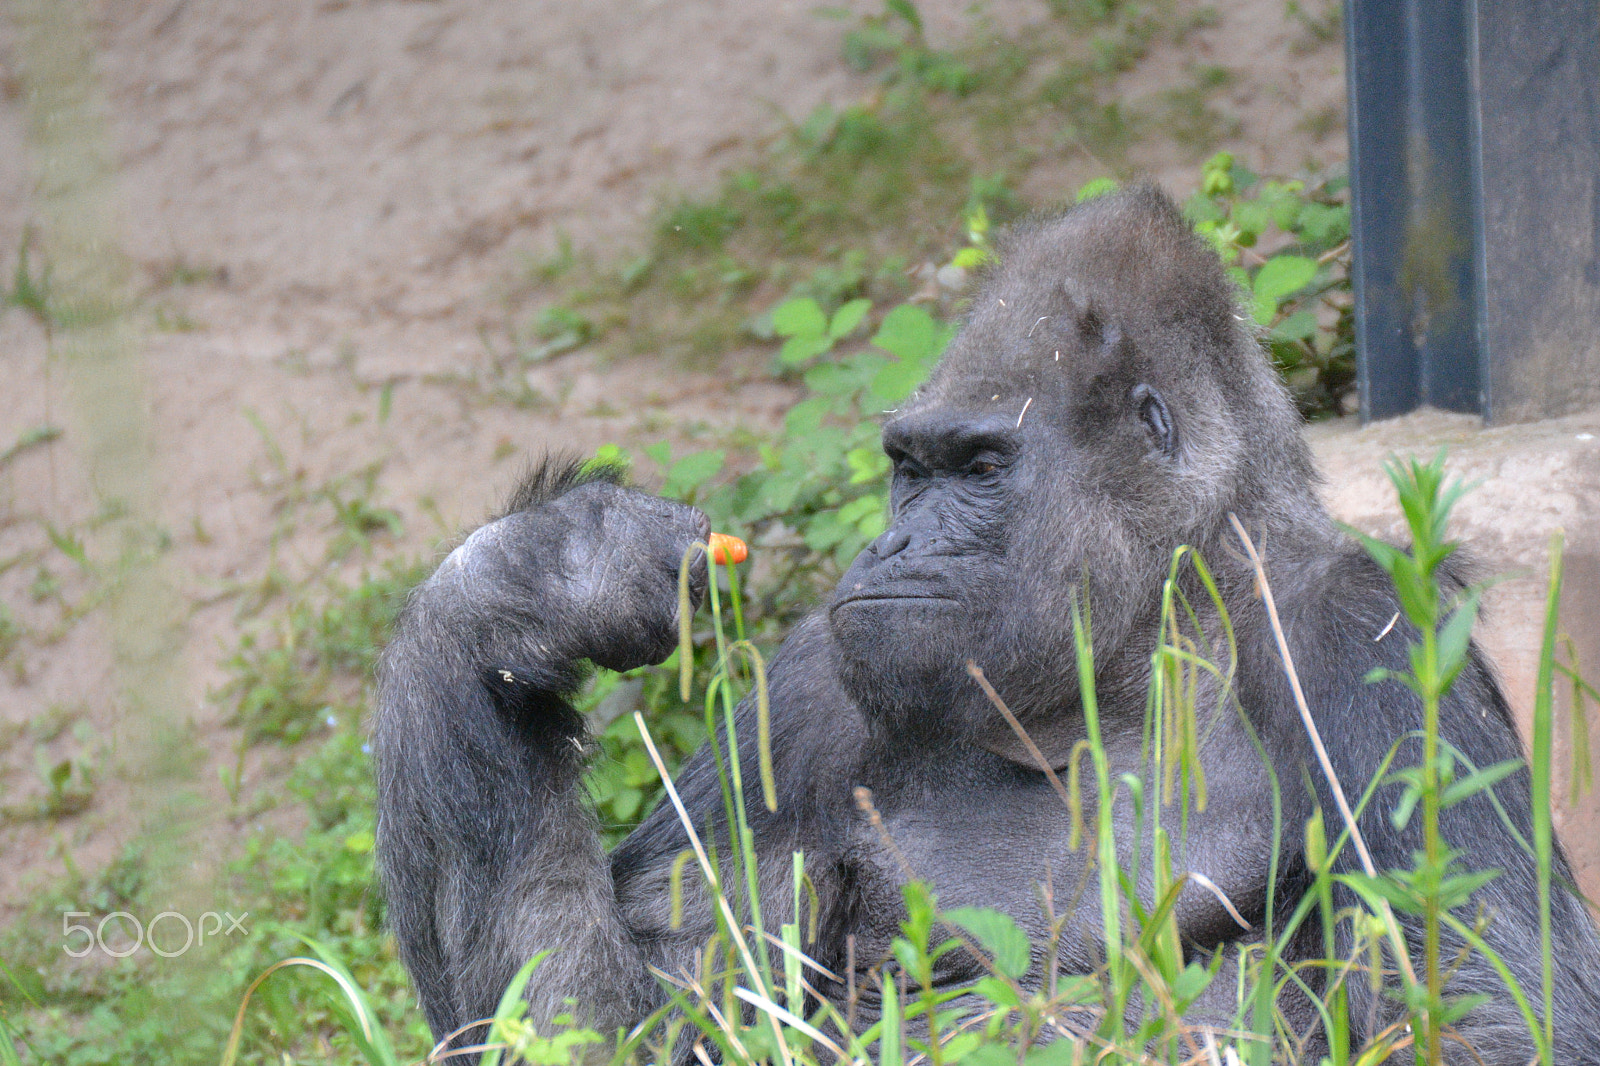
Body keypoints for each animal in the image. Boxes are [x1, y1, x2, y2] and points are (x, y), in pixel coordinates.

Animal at [373, 184, 1600, 1061]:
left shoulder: (1360, 635)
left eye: (978, 467)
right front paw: (534, 578)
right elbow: (610, 1023)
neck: (1144, 641)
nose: (895, 547)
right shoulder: (810, 686)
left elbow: (1488, 1008)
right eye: (906, 469)